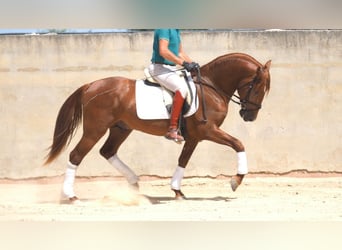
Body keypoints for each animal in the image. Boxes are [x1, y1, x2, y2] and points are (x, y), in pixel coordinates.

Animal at [44, 52, 272, 201]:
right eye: (257, 88)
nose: (249, 116)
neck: (211, 86)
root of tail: (90, 85)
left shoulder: (194, 137)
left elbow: (183, 160)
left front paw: (177, 191)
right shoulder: (208, 131)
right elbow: (239, 144)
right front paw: (236, 180)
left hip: (121, 128)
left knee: (107, 151)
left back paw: (133, 183)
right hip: (95, 130)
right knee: (76, 155)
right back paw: (71, 196)